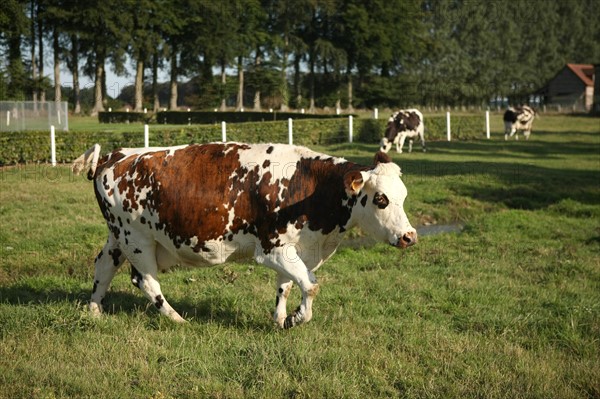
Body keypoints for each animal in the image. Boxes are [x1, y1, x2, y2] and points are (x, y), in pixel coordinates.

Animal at [72, 142, 418, 330]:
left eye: (403, 196)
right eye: (381, 199)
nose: (409, 236)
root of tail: (117, 155)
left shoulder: (294, 248)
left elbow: (287, 285)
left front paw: (281, 318)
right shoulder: (272, 247)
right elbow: (310, 285)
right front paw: (297, 318)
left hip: (118, 236)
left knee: (103, 266)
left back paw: (95, 311)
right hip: (137, 239)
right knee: (145, 281)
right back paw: (177, 319)